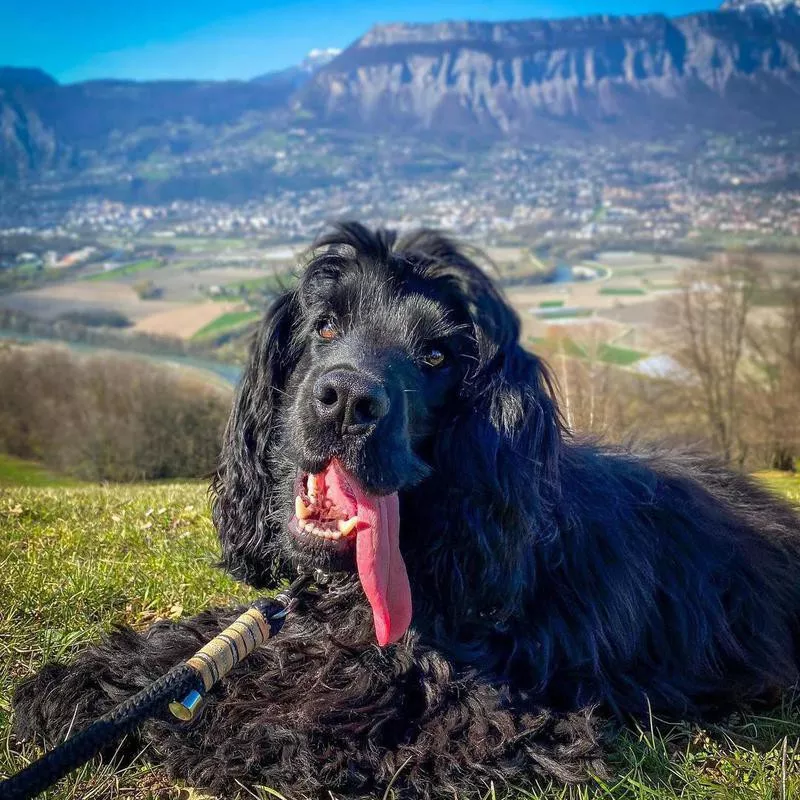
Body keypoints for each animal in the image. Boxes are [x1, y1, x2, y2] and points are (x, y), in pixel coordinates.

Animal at [10, 222, 800, 796]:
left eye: (437, 358)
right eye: (325, 327)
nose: (345, 401)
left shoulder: (477, 717)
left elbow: (279, 703)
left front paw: (169, 722)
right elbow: (206, 643)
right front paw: (90, 679)